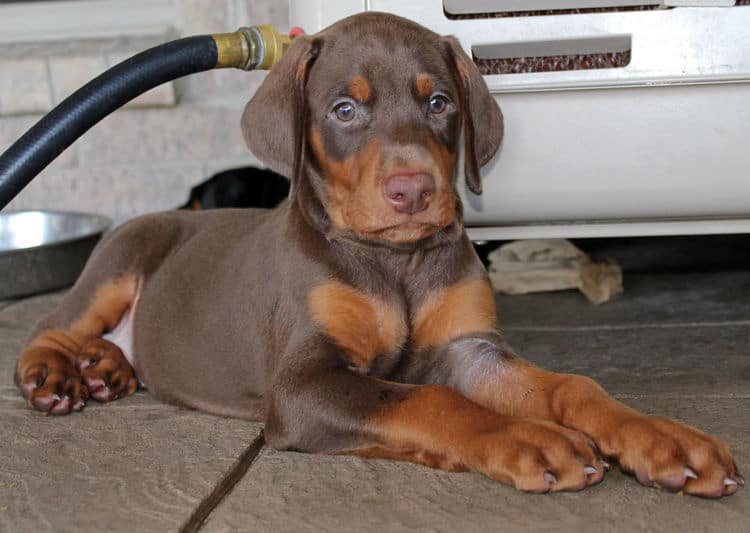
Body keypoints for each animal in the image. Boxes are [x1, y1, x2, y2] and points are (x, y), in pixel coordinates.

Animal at [14, 12, 744, 494]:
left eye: (440, 101)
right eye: (344, 109)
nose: (414, 190)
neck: (396, 261)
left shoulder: (470, 348)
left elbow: (573, 386)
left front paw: (660, 436)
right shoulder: (304, 384)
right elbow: (426, 400)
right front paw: (527, 436)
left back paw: (106, 368)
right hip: (122, 258)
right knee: (52, 323)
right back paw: (56, 373)